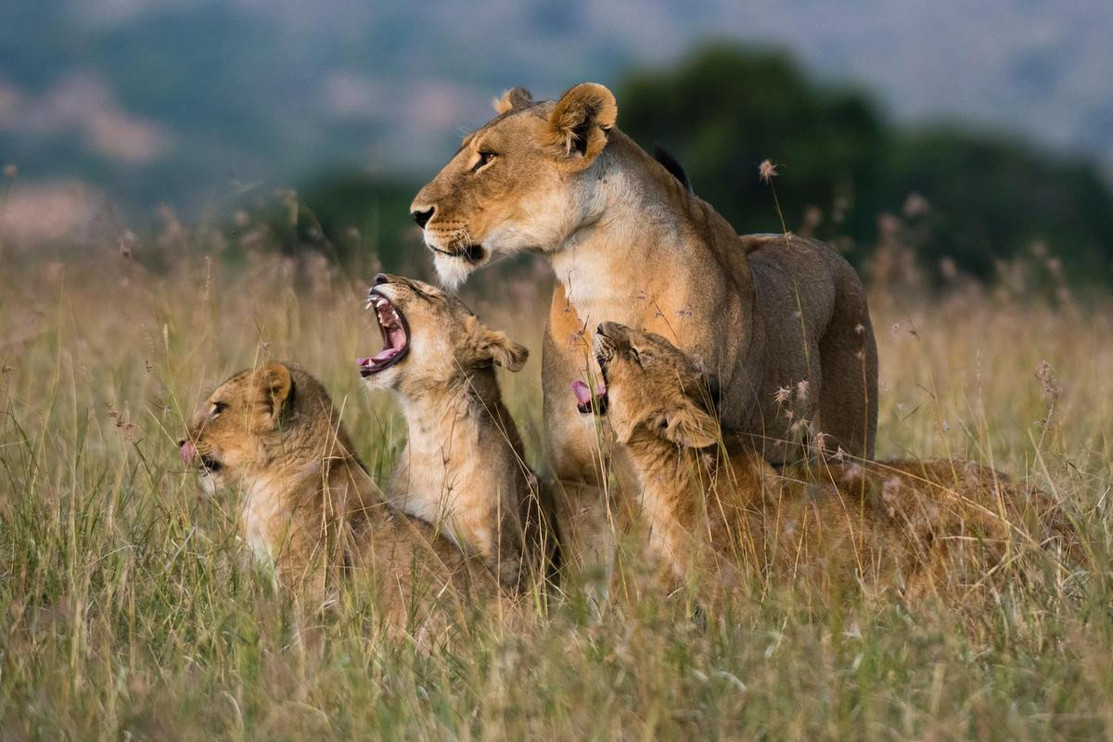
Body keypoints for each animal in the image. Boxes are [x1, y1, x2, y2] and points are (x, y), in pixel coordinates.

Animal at [410, 82, 879, 590]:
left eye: (487, 158)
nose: (417, 214)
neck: (598, 276)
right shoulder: (579, 482)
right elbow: (594, 580)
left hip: (846, 447)